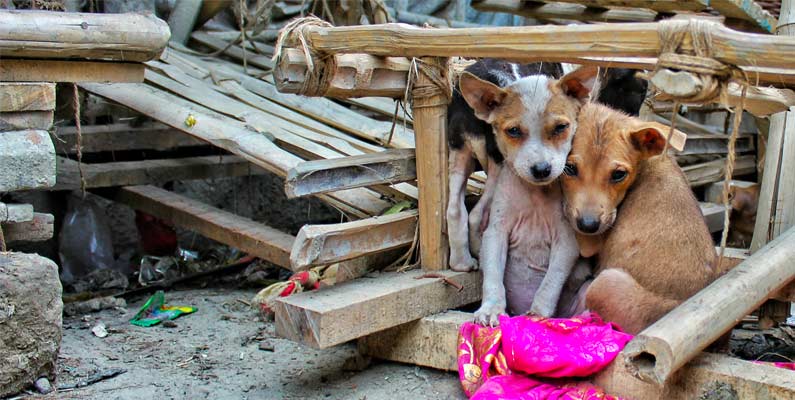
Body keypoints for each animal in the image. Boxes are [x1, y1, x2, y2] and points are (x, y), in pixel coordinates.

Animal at [560, 101, 720, 332]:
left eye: (618, 174)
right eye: (569, 169)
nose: (588, 226)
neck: (647, 163)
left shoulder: (590, 241)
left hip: (605, 282)